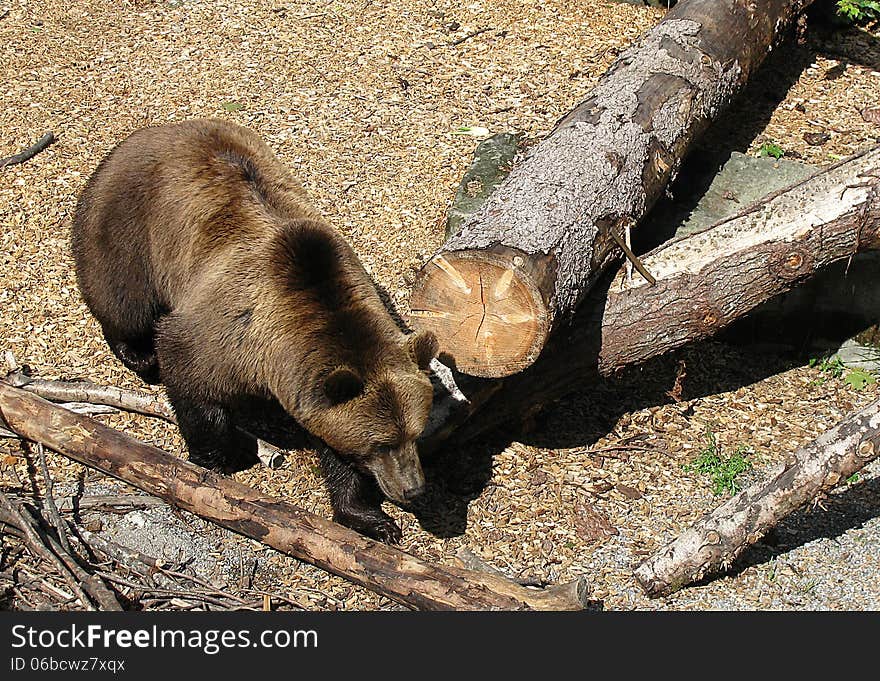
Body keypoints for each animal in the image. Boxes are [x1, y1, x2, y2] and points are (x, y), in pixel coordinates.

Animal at [72, 117, 440, 540]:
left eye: (415, 433)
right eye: (379, 444)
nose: (413, 488)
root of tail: (154, 130)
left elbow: (332, 447)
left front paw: (372, 519)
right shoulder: (229, 336)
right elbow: (188, 373)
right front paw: (216, 457)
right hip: (128, 223)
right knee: (121, 296)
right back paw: (137, 353)